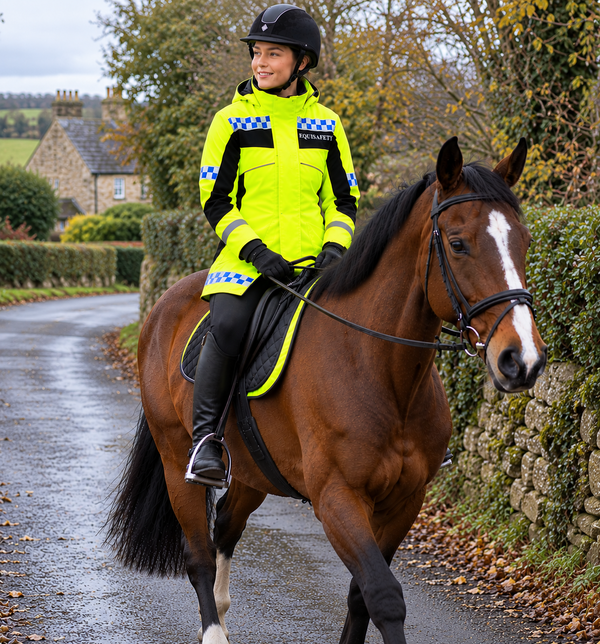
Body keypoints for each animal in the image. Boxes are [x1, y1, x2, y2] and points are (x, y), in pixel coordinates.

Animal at [106, 136, 547, 644]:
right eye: (458, 244)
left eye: (524, 241)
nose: (522, 359)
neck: (378, 369)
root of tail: (164, 306)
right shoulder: (338, 499)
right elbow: (384, 595)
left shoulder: (404, 501)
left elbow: (361, 597)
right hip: (177, 456)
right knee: (198, 555)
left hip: (253, 473)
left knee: (225, 532)